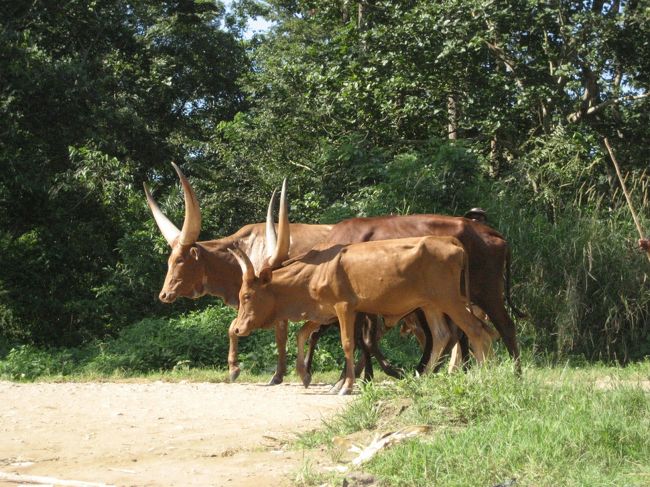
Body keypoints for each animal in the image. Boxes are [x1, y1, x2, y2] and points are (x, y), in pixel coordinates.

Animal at [145, 165, 332, 386]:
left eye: (180, 260)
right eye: (169, 260)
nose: (164, 295)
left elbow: (280, 337)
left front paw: (277, 375)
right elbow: (233, 327)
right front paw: (234, 368)